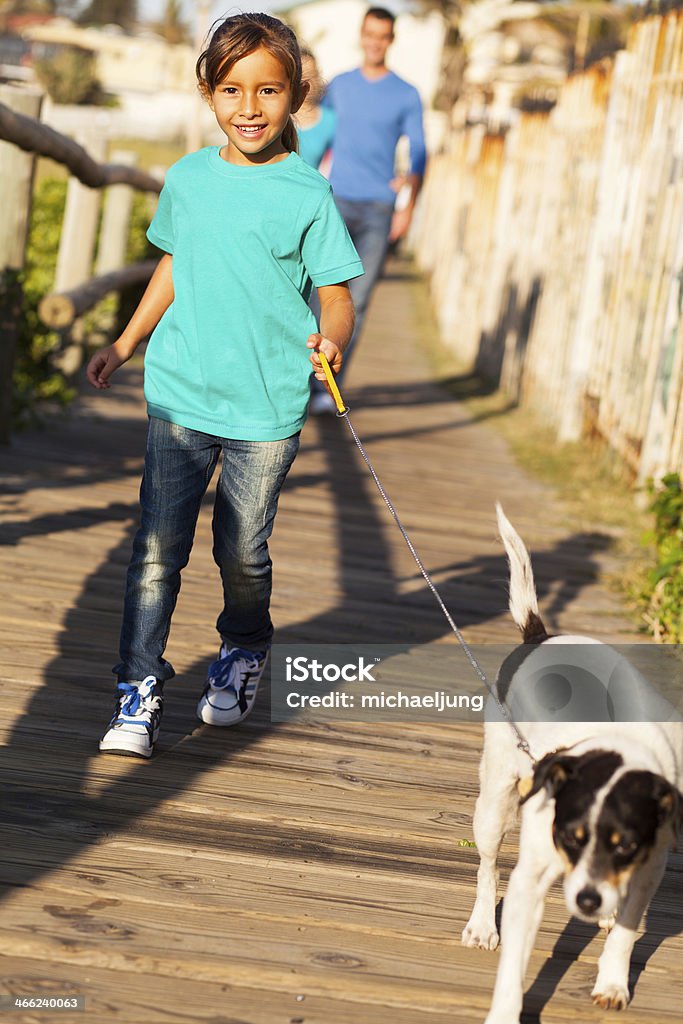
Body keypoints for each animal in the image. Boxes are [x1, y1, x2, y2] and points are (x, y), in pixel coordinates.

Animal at [462, 505, 679, 1024]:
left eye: (626, 844)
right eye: (571, 835)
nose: (588, 898)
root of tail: (539, 636)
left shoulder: (649, 867)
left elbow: (626, 930)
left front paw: (613, 982)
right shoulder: (530, 882)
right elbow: (513, 966)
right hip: (493, 802)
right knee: (487, 866)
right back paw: (482, 925)